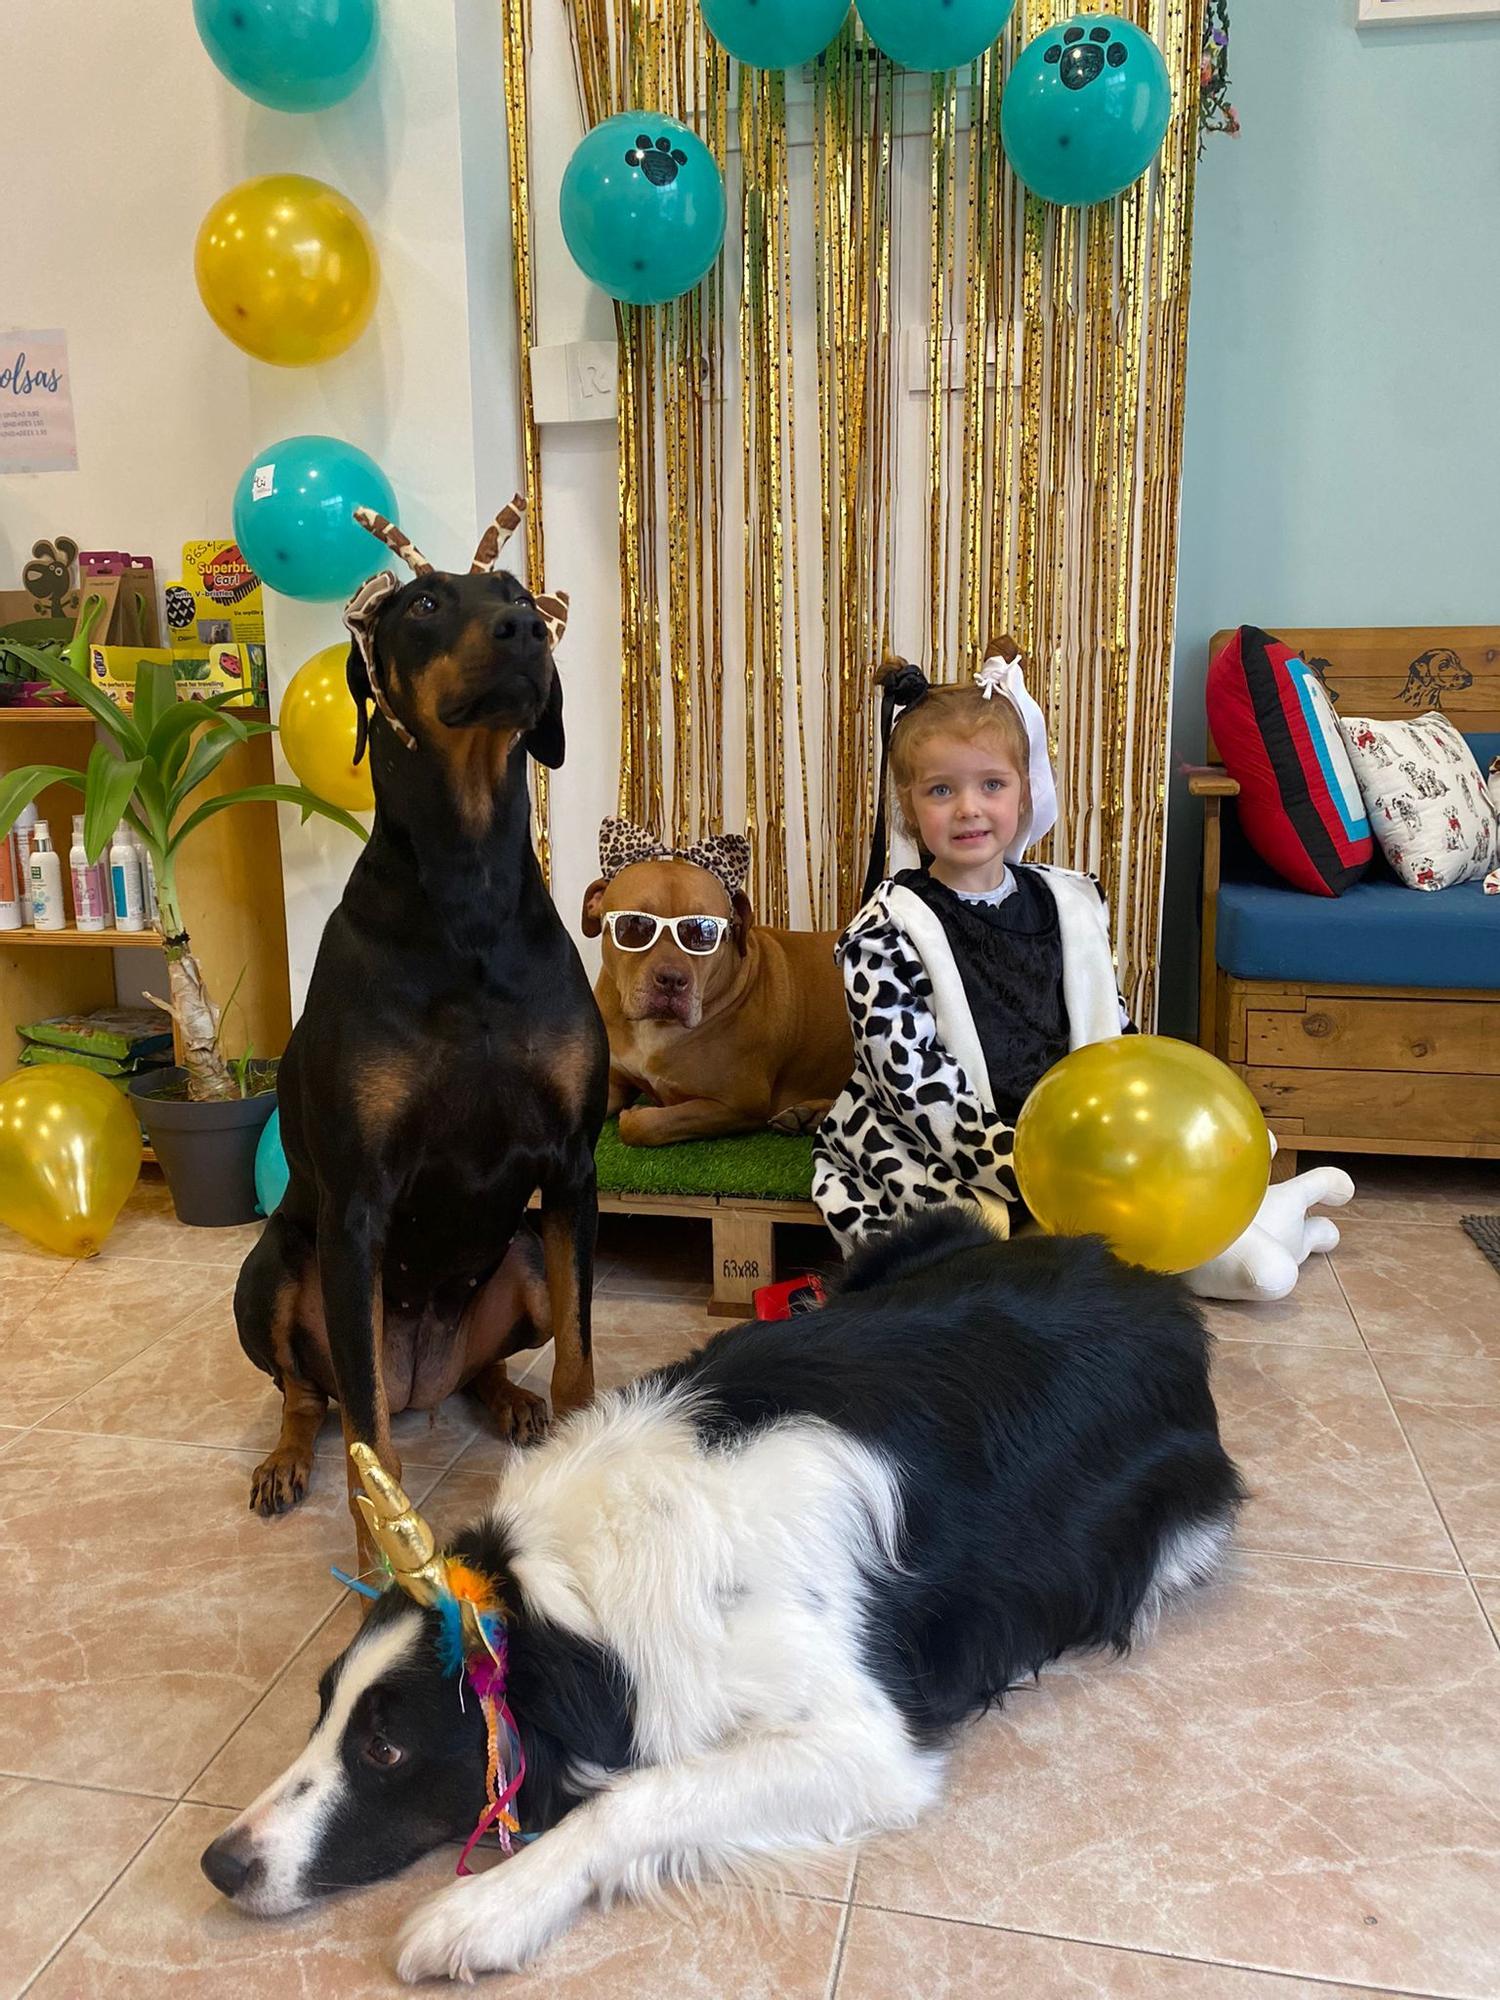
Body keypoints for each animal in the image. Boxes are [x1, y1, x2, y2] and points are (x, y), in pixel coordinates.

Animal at [235, 500, 612, 1544]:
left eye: (520, 593)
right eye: (426, 604)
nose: (525, 632)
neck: (469, 890)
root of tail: (422, 1383)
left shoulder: (572, 1171)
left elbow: (580, 1361)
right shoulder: (358, 1202)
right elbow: (368, 1444)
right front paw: (384, 1560)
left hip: (524, 1252)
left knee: (481, 1365)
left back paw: (508, 1399)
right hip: (274, 1268)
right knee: (311, 1395)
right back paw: (285, 1462)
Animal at [580, 812, 852, 1152]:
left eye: (703, 931)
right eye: (636, 925)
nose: (672, 979)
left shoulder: (735, 1105)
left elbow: (645, 1125)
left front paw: (635, 1116)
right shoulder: (613, 1081)